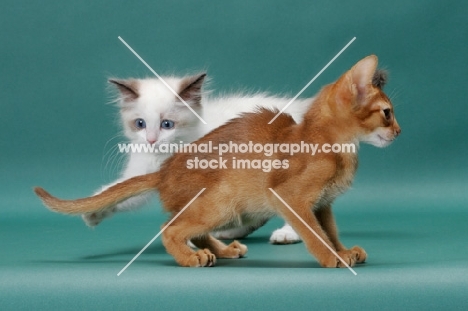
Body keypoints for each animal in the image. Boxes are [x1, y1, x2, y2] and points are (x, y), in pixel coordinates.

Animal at [82, 73, 306, 244]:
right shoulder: (144, 174)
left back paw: (287, 234)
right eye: (140, 124)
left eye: (167, 124)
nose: (151, 140)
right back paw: (231, 232)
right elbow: (120, 191)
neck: (165, 155)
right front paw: (93, 211)